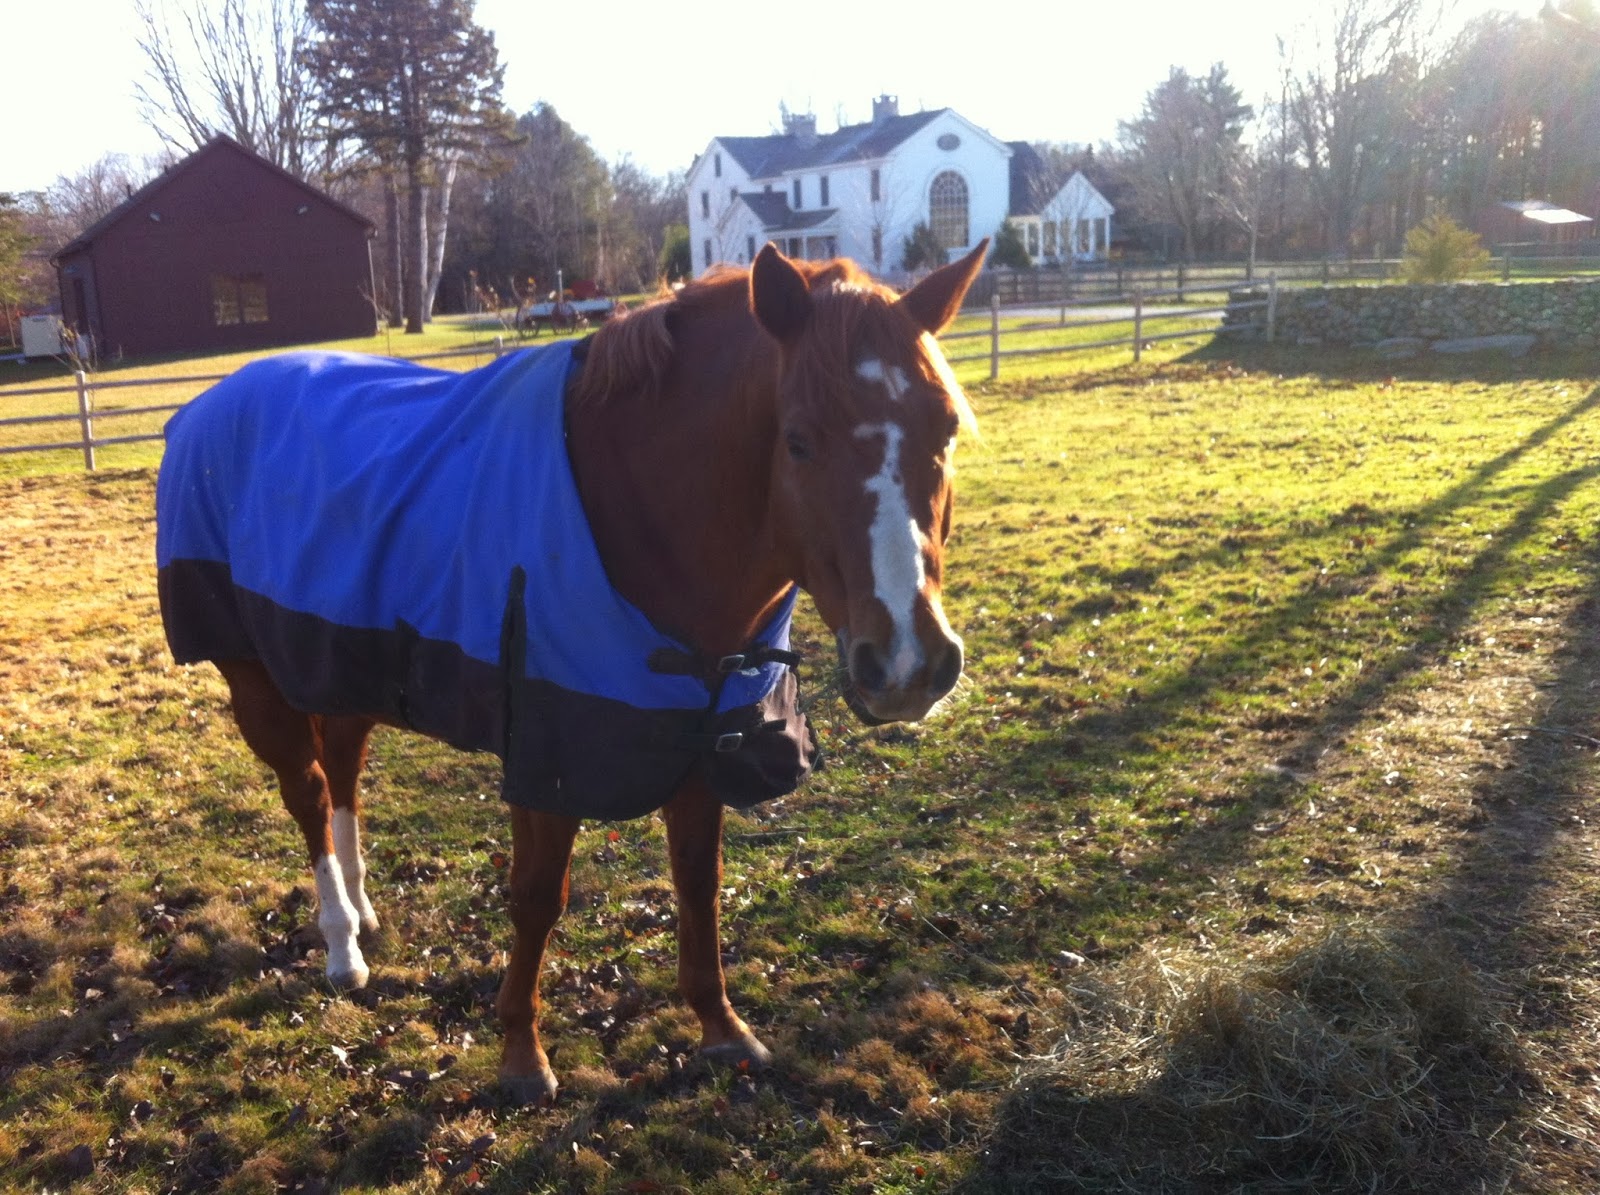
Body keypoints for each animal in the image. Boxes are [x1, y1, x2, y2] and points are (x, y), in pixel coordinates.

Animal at [154, 239, 988, 1103]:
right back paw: (341, 944)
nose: (909, 659)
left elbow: (697, 881)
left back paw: (361, 908)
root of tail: (208, 404)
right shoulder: (545, 753)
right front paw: (522, 1052)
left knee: (344, 772)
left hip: (342, 663)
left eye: (947, 430)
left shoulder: (696, 735)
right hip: (256, 681)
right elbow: (536, 898)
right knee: (311, 794)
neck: (635, 508)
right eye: (798, 439)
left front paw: (720, 1026)